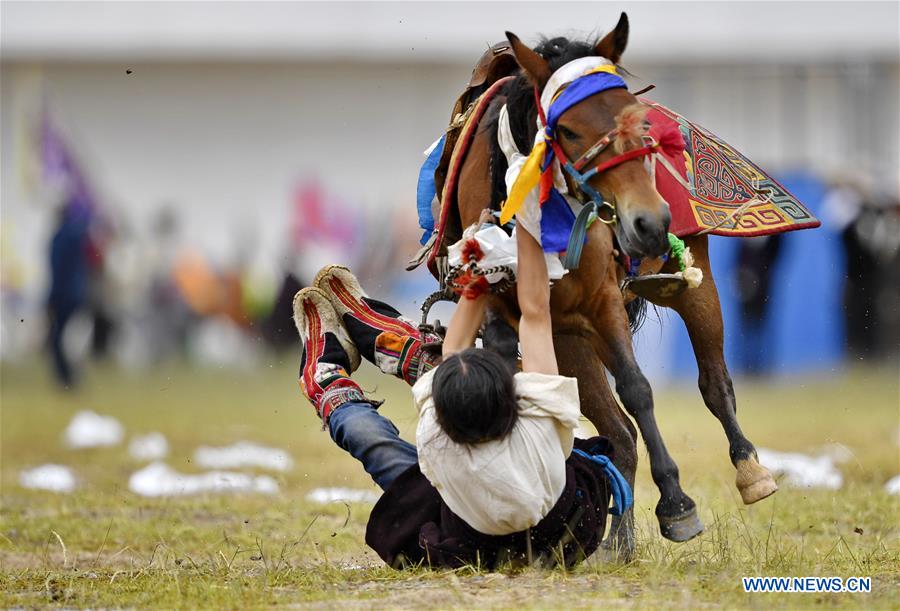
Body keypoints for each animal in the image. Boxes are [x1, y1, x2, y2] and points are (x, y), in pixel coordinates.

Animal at [434, 13, 772, 560]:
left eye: (637, 119)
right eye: (568, 129)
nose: (649, 222)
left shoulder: (602, 300)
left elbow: (638, 389)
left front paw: (677, 505)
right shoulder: (516, 311)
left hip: (692, 287)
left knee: (714, 384)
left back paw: (750, 470)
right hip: (568, 338)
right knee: (616, 429)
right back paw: (619, 538)